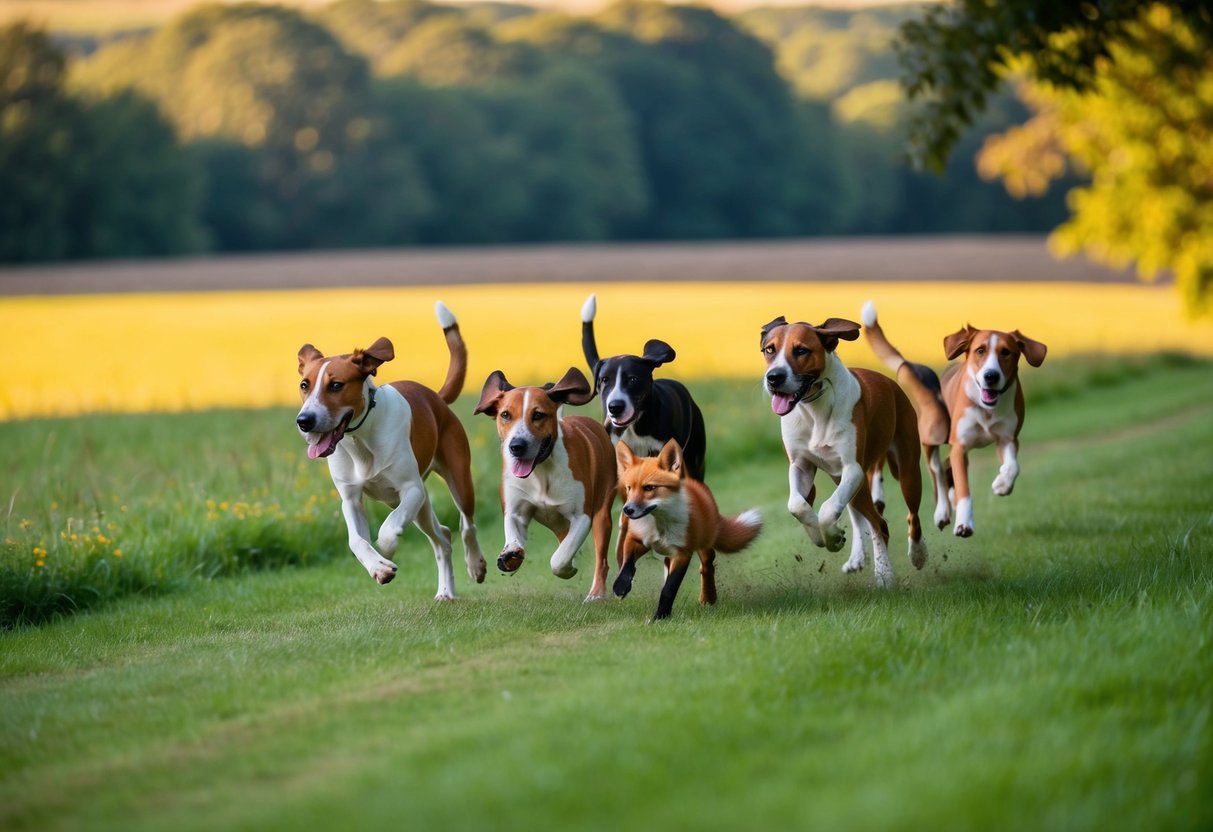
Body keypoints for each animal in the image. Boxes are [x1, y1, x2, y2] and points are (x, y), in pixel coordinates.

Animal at [612, 438, 762, 620]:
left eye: (649, 488)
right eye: (628, 488)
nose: (627, 510)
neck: (659, 525)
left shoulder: (682, 553)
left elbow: (669, 589)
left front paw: (661, 616)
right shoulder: (636, 539)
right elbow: (626, 566)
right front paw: (621, 586)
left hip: (703, 546)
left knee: (707, 567)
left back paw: (708, 597)